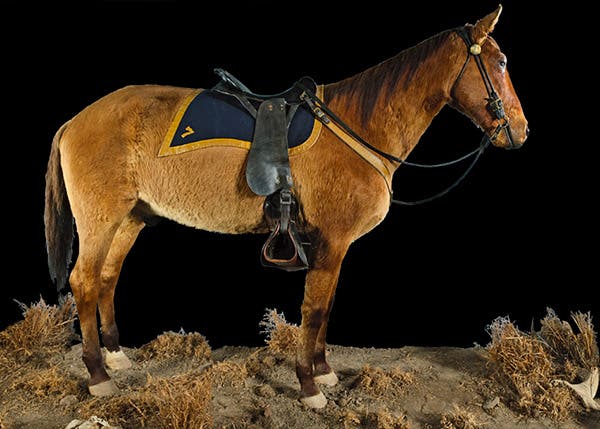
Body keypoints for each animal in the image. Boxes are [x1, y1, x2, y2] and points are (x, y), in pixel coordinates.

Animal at [44, 6, 528, 408]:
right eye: (502, 62)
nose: (520, 130)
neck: (356, 125)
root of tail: (74, 120)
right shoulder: (332, 242)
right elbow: (313, 310)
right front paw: (309, 385)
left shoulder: (333, 247)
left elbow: (326, 308)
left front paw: (325, 371)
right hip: (101, 221)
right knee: (84, 281)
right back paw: (98, 375)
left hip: (129, 219)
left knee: (107, 278)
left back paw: (115, 357)